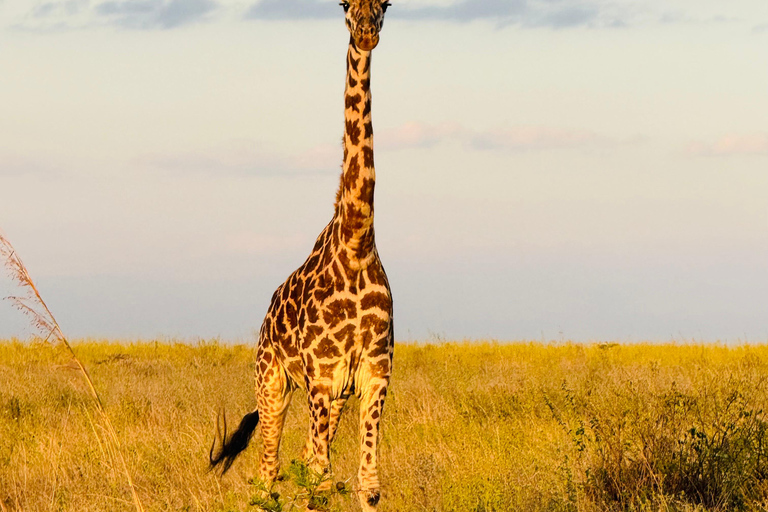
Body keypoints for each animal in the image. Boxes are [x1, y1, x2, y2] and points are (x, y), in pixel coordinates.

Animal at [209, 1, 393, 510]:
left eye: (386, 5)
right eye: (343, 5)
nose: (366, 33)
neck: (357, 244)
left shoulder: (374, 374)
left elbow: (366, 484)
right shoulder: (321, 375)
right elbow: (320, 483)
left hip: (331, 395)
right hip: (272, 380)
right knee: (268, 470)